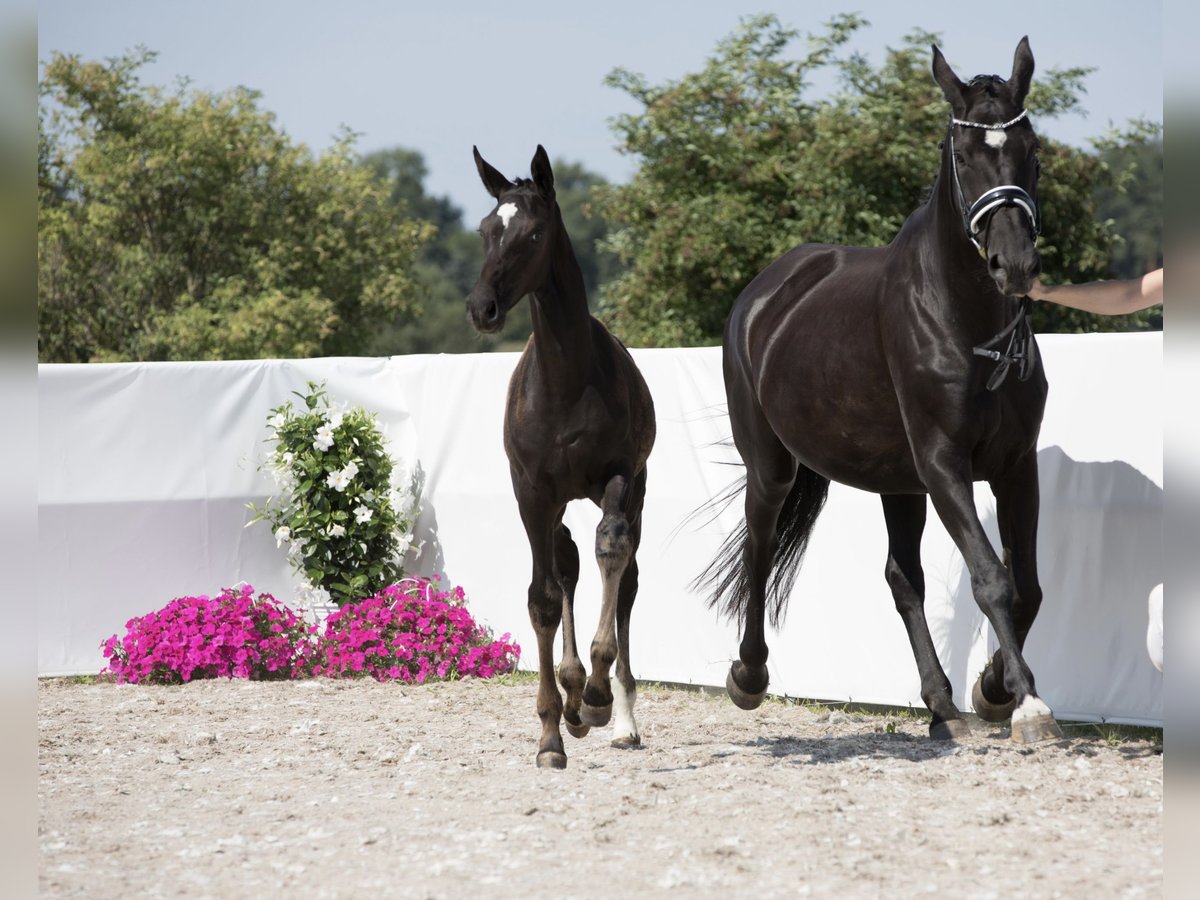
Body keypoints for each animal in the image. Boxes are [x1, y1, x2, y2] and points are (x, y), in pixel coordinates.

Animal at [465, 146, 657, 768]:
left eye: (533, 233)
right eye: (485, 229)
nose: (482, 308)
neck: (566, 384)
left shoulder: (619, 477)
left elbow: (612, 552)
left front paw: (596, 696)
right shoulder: (532, 491)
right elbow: (544, 598)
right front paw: (551, 732)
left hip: (630, 487)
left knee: (625, 574)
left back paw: (615, 714)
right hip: (555, 504)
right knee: (567, 561)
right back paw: (572, 700)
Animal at [700, 38, 1065, 744]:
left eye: (1031, 149)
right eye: (963, 155)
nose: (1015, 265)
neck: (966, 323)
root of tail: (767, 290)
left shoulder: (1014, 466)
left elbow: (1027, 586)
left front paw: (994, 692)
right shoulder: (944, 463)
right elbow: (992, 578)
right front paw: (1028, 702)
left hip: (899, 482)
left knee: (904, 578)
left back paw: (942, 706)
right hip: (773, 465)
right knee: (759, 549)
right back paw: (749, 676)